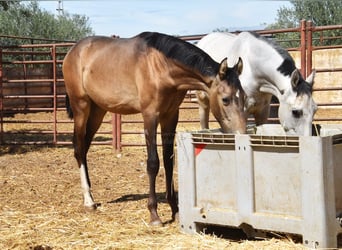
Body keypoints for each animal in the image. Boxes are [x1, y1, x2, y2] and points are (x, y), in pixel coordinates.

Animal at [62, 31, 246, 225]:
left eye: (244, 96)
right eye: (225, 99)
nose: (241, 133)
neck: (161, 66)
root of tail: (72, 52)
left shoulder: (170, 116)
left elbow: (169, 161)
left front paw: (175, 209)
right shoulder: (150, 116)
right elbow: (153, 163)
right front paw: (154, 214)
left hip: (98, 111)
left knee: (85, 148)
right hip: (81, 107)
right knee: (79, 148)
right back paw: (88, 201)